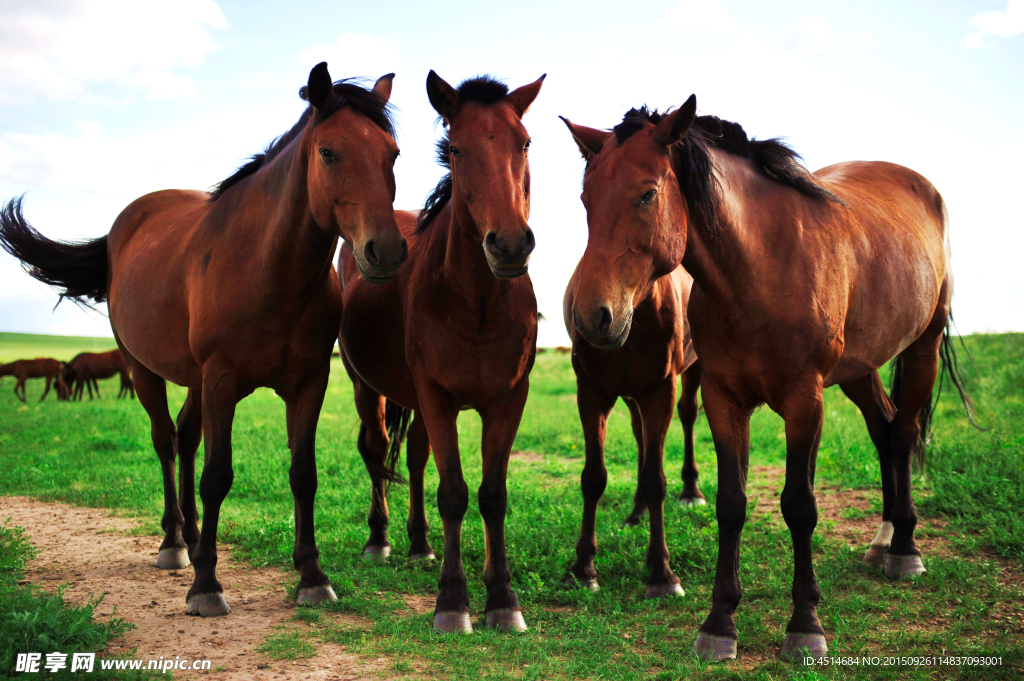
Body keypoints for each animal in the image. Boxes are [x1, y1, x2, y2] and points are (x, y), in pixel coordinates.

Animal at [0, 62, 407, 614]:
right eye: (328, 152)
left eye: (392, 153)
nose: (385, 251)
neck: (266, 268)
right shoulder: (221, 380)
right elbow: (216, 476)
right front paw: (207, 586)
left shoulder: (308, 382)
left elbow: (303, 474)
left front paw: (311, 576)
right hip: (144, 371)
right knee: (165, 442)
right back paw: (175, 543)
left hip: (193, 380)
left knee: (186, 435)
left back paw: (193, 540)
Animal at [337, 73, 548, 630]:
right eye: (456, 148)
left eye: (525, 143)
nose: (510, 245)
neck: (476, 304)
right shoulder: (435, 396)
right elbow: (453, 492)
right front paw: (453, 602)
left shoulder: (508, 400)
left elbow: (492, 496)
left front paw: (503, 600)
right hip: (367, 388)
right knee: (376, 452)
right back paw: (380, 541)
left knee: (412, 459)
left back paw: (419, 545)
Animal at [561, 266, 704, 602]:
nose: (596, 317)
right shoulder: (592, 392)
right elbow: (593, 478)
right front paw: (583, 569)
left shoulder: (660, 390)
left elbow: (655, 479)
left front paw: (662, 574)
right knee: (640, 435)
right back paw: (637, 512)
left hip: (693, 369)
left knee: (688, 413)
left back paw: (691, 491)